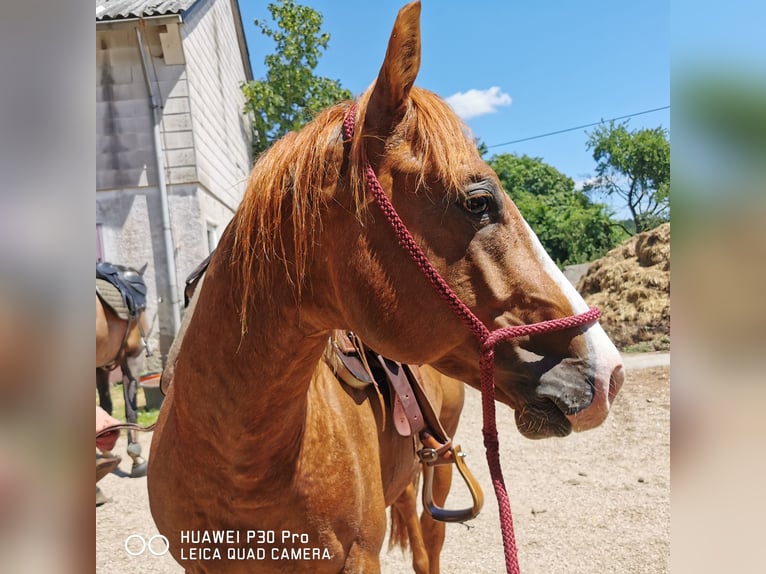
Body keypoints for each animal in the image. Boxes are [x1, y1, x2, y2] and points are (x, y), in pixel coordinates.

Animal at [148, 2, 624, 572]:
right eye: (478, 202)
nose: (610, 372)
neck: (240, 457)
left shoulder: (358, 555)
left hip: (441, 463)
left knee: (428, 541)